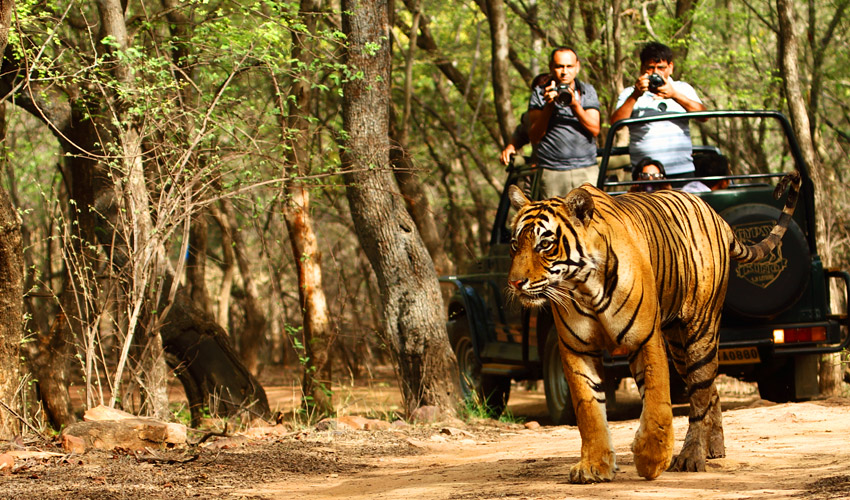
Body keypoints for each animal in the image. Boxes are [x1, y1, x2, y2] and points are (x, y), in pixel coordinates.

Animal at [506, 170, 800, 482]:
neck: (583, 286)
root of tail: (718, 218)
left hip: (701, 330)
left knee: (699, 395)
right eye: (514, 244)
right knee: (710, 390)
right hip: (678, 346)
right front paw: (594, 466)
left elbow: (657, 401)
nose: (515, 282)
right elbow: (589, 410)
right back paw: (714, 448)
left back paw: (691, 457)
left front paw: (652, 459)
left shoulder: (644, 338)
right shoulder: (577, 349)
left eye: (545, 245)